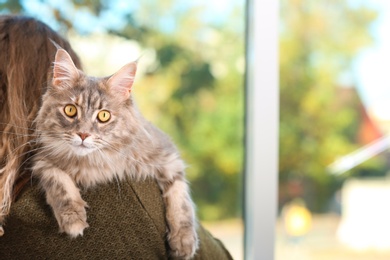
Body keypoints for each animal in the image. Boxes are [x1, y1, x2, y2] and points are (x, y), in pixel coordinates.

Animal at [0, 15, 198, 258]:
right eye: (70, 110)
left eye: (103, 116)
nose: (83, 134)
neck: (91, 162)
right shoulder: (41, 160)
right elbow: (58, 181)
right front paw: (73, 218)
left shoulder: (168, 157)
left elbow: (181, 200)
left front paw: (184, 241)